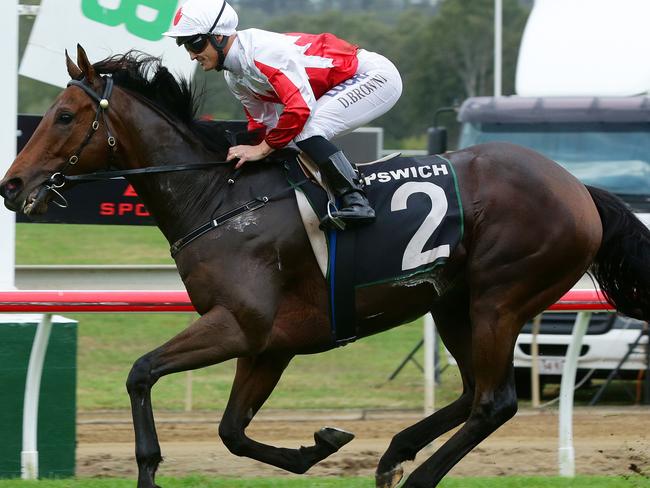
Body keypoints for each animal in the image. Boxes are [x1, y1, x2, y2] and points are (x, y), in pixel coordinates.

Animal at [3, 46, 648, 488]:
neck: (218, 198)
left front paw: (149, 466)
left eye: (65, 116)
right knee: (473, 392)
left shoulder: (239, 324)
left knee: (495, 401)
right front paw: (322, 443)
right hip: (452, 302)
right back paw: (393, 454)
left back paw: (415, 474)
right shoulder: (268, 343)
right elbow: (232, 431)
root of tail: (579, 189)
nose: (12, 185)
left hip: (500, 298)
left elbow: (142, 373)